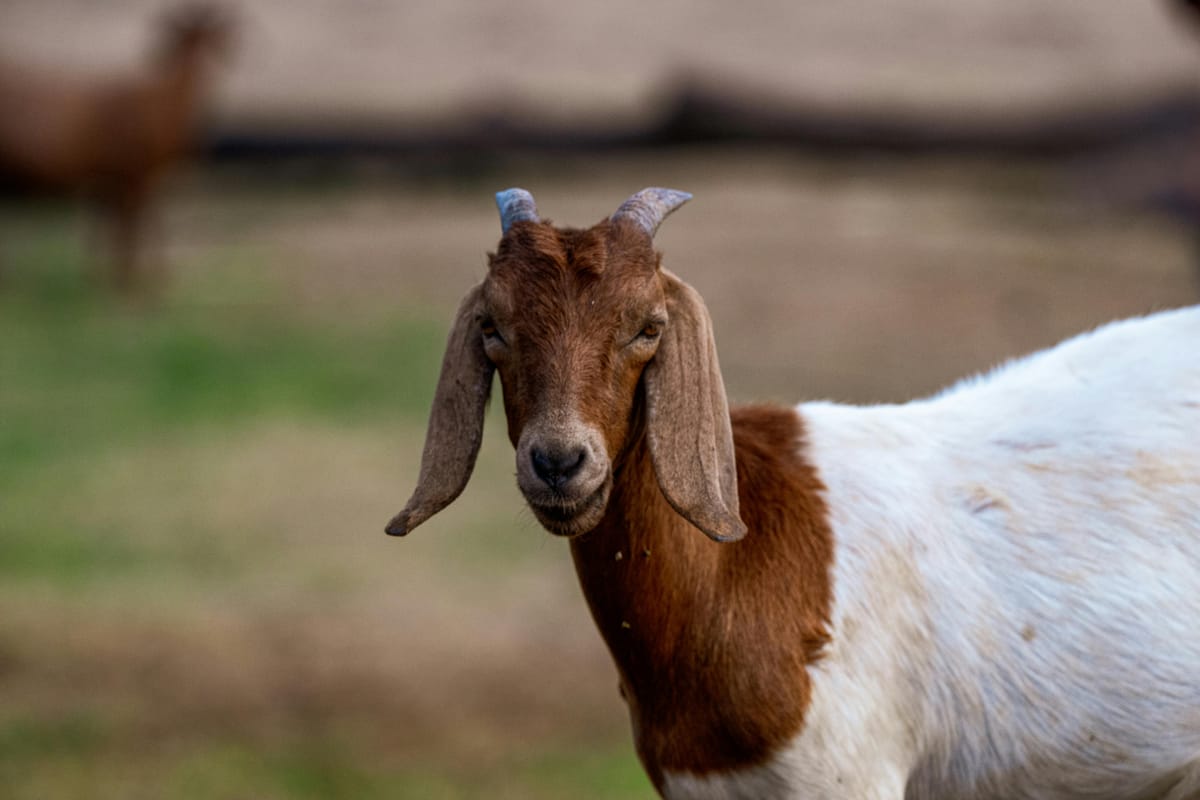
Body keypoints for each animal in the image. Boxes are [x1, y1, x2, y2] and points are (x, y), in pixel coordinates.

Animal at [0, 4, 232, 292]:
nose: (209, 64)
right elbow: (130, 228)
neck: (161, 101)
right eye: (188, 38)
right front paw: (133, 286)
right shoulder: (134, 173)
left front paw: (119, 280)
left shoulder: (124, 178)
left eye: (210, 37)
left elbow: (127, 225)